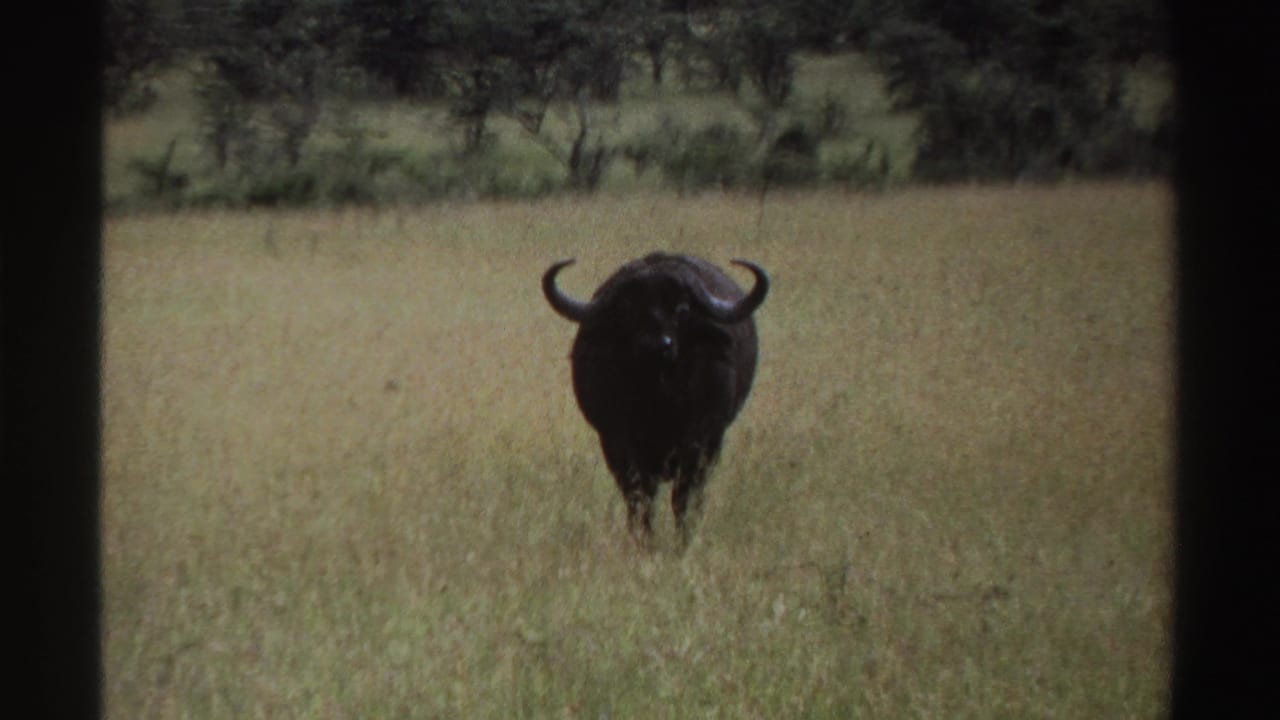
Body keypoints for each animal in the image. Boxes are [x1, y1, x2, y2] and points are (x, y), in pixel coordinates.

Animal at [542, 252, 769, 544]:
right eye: (628, 309)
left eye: (682, 309)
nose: (656, 345)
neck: (661, 401)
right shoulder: (619, 446)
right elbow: (640, 498)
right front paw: (643, 542)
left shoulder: (699, 444)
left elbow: (684, 500)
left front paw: (683, 541)